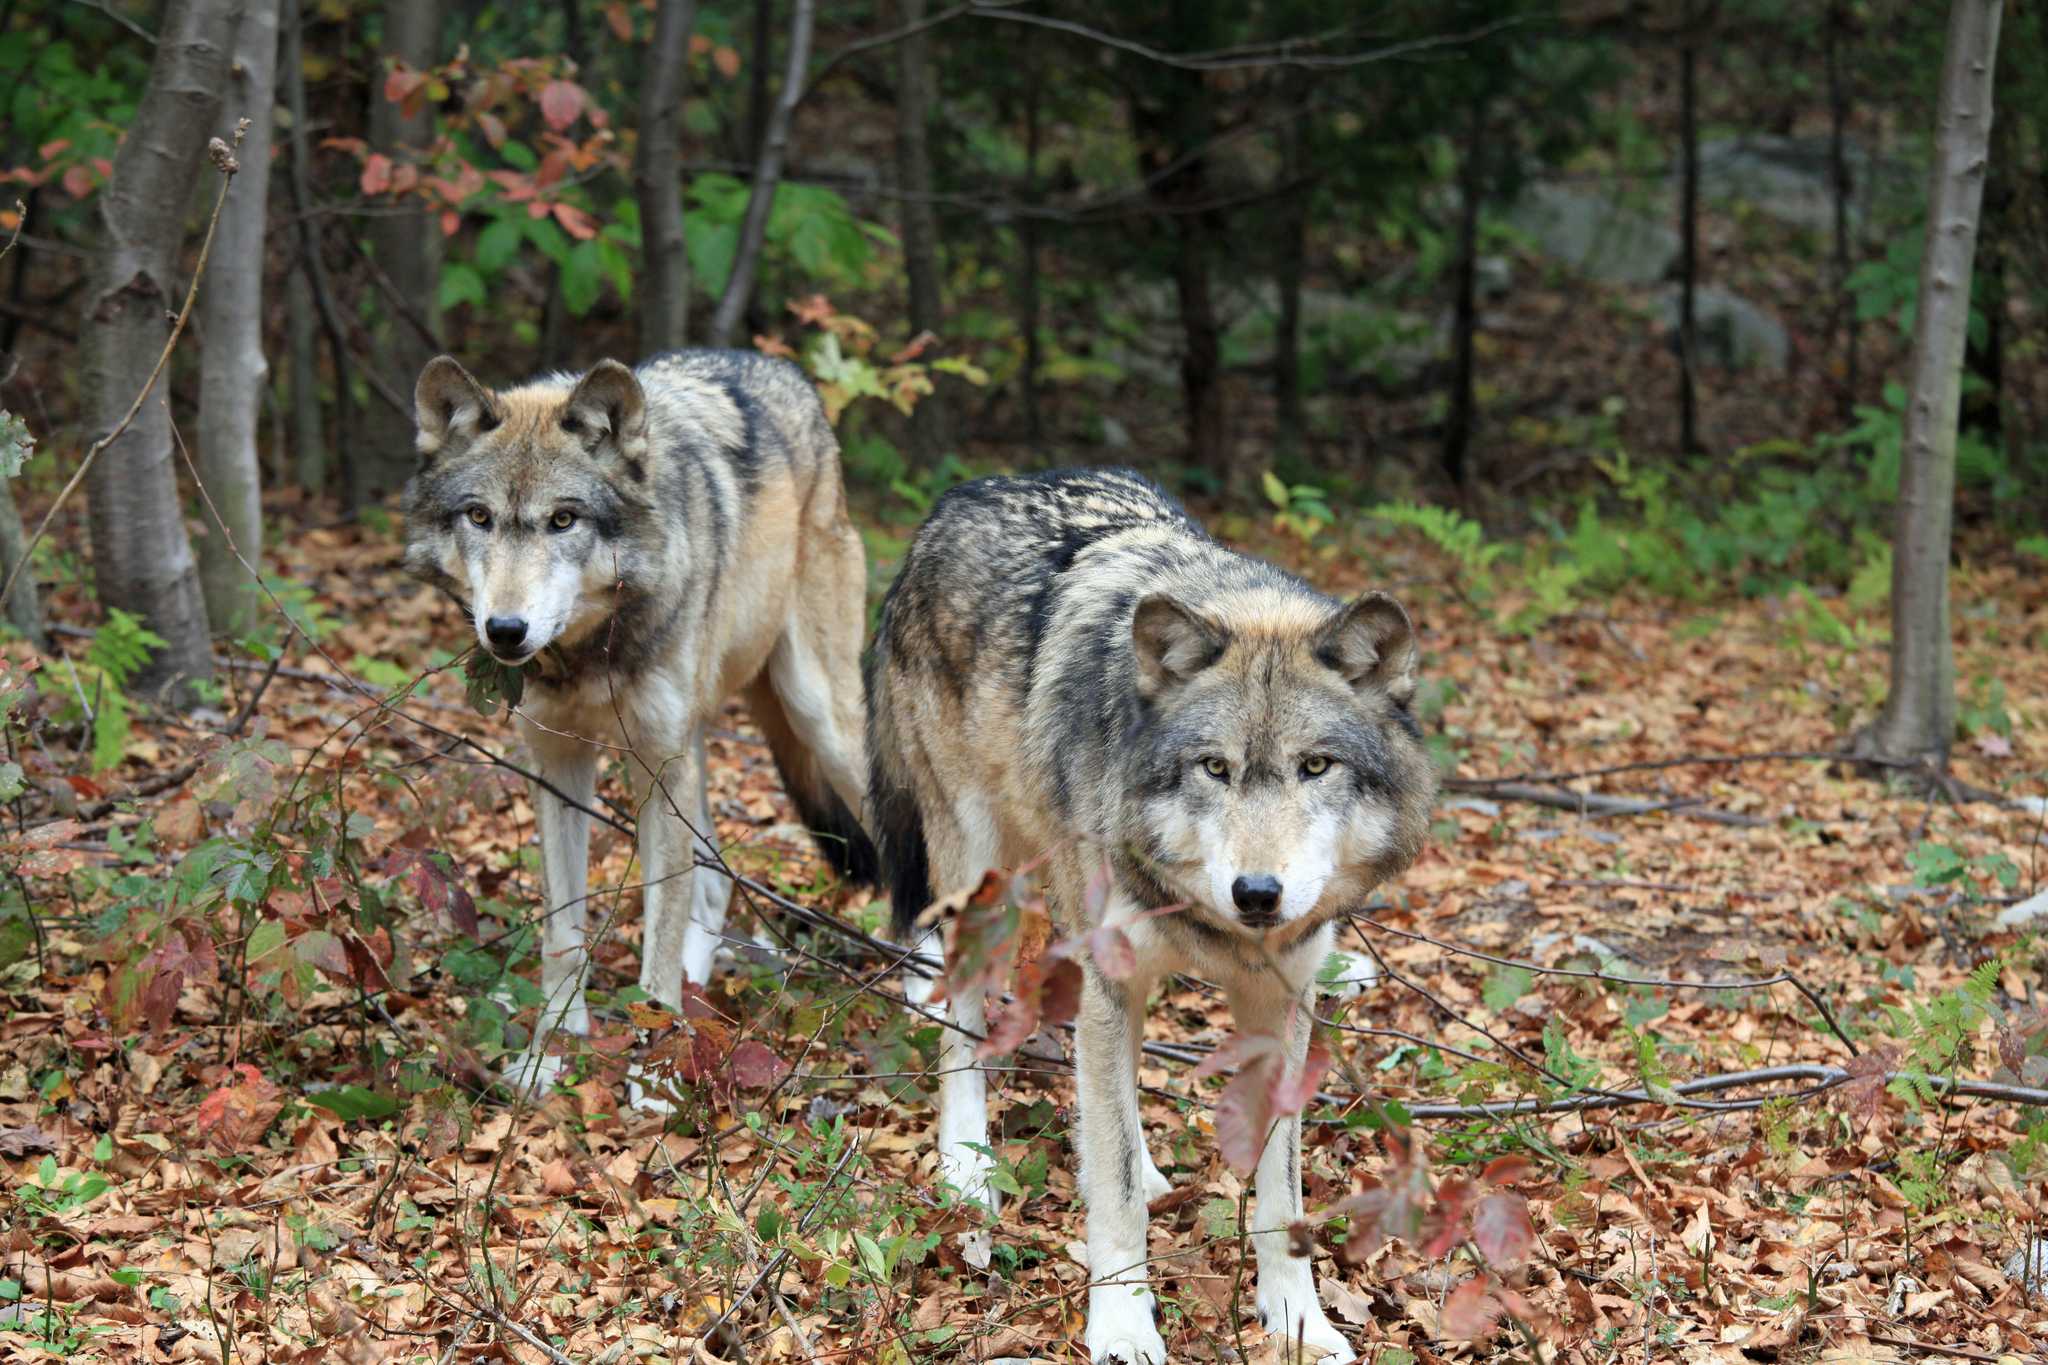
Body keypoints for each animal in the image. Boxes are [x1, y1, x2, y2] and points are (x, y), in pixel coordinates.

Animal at [403, 349, 875, 1093]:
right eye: (478, 516)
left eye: (563, 521)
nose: (505, 630)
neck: (589, 653)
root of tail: (782, 369)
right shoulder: (559, 766)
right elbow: (564, 937)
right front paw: (548, 1055)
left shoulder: (656, 769)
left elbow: (658, 935)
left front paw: (656, 1081)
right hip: (697, 748)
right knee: (712, 887)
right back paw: (700, 998)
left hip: (817, 719)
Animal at [866, 468, 1437, 1364]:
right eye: (1214, 767)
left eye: (1317, 766)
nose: (1257, 892)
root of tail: (957, 499)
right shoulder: (1111, 977)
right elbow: (1120, 1199)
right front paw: (1124, 1323)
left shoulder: (1280, 1006)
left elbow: (1280, 1195)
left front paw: (1298, 1318)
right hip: (976, 872)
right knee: (961, 1025)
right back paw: (967, 1166)